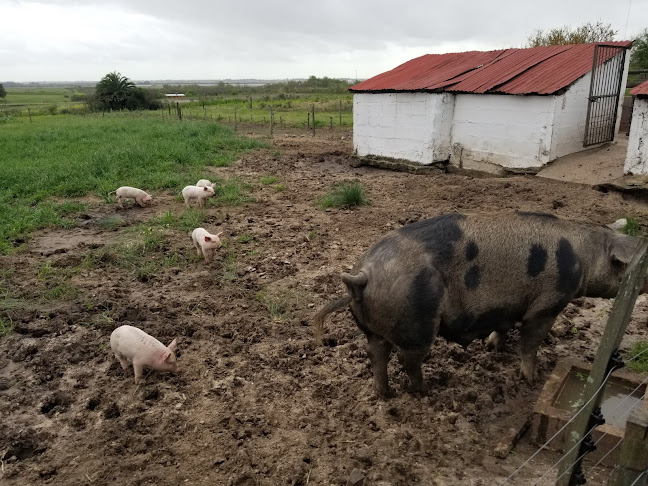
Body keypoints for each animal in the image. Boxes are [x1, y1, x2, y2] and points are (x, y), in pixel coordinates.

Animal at [314, 213, 644, 398]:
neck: (585, 258)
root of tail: (364, 273)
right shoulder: (548, 303)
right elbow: (531, 341)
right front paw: (531, 379)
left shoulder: (507, 307)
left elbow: (504, 326)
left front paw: (492, 347)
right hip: (417, 322)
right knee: (407, 360)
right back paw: (425, 391)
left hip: (373, 327)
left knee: (376, 355)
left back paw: (384, 395)